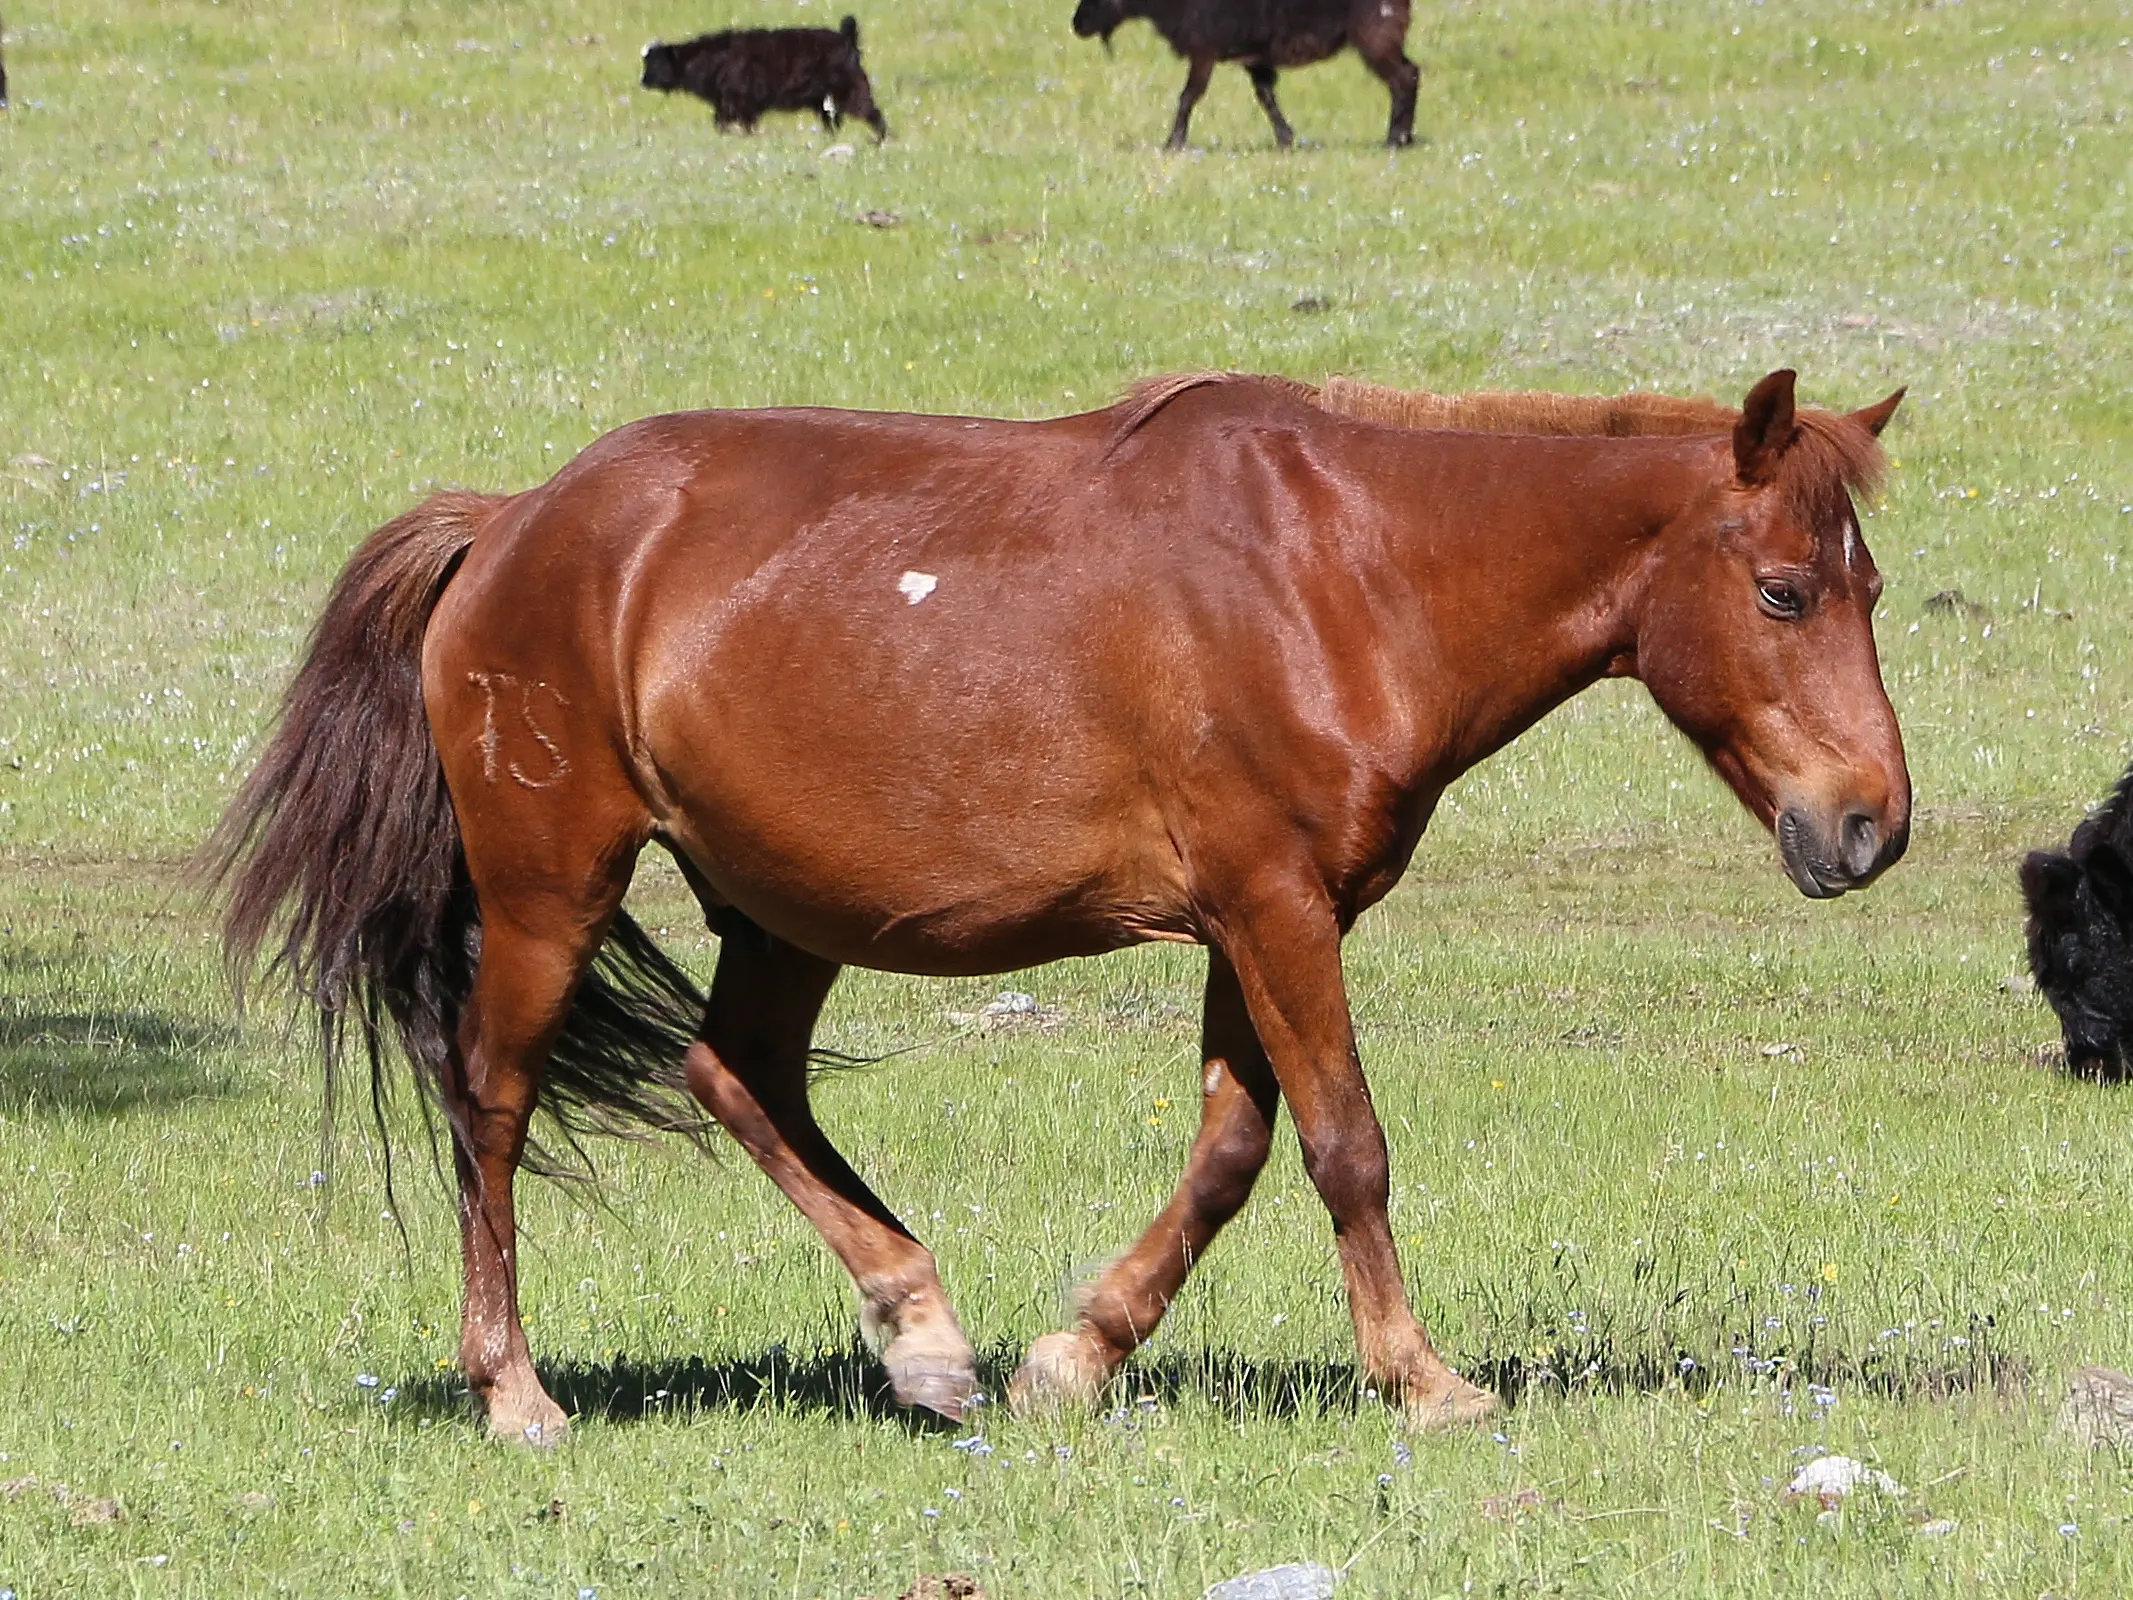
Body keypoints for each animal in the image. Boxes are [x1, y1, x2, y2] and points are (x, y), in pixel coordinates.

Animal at [212, 369, 1919, 1450]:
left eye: (1872, 588)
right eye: (1782, 591)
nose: (1870, 825)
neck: (1346, 567)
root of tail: (512, 523)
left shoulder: (1260, 918)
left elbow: (1231, 1153)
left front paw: (1073, 1360)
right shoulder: (1274, 906)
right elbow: (1344, 1144)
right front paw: (1422, 1381)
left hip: (779, 912)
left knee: (734, 1074)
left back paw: (922, 1333)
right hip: (550, 889)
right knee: (491, 1103)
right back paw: (513, 1391)